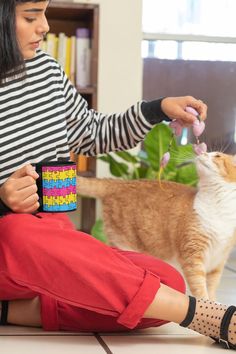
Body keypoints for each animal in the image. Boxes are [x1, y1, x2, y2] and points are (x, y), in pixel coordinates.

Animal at [78, 151, 236, 298]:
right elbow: (200, 289)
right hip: (126, 243)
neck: (219, 206)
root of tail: (121, 183)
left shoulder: (218, 261)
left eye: (217, 156)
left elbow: (211, 288)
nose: (202, 152)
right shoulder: (192, 256)